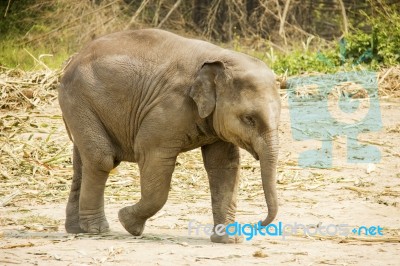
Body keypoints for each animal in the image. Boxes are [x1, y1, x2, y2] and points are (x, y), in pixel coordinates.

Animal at [58, 28, 282, 243]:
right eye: (249, 119)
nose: (259, 224)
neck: (221, 58)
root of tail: (73, 59)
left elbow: (224, 167)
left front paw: (229, 240)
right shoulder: (169, 108)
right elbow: (152, 156)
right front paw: (128, 223)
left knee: (81, 163)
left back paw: (77, 229)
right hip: (79, 101)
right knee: (101, 159)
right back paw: (97, 230)